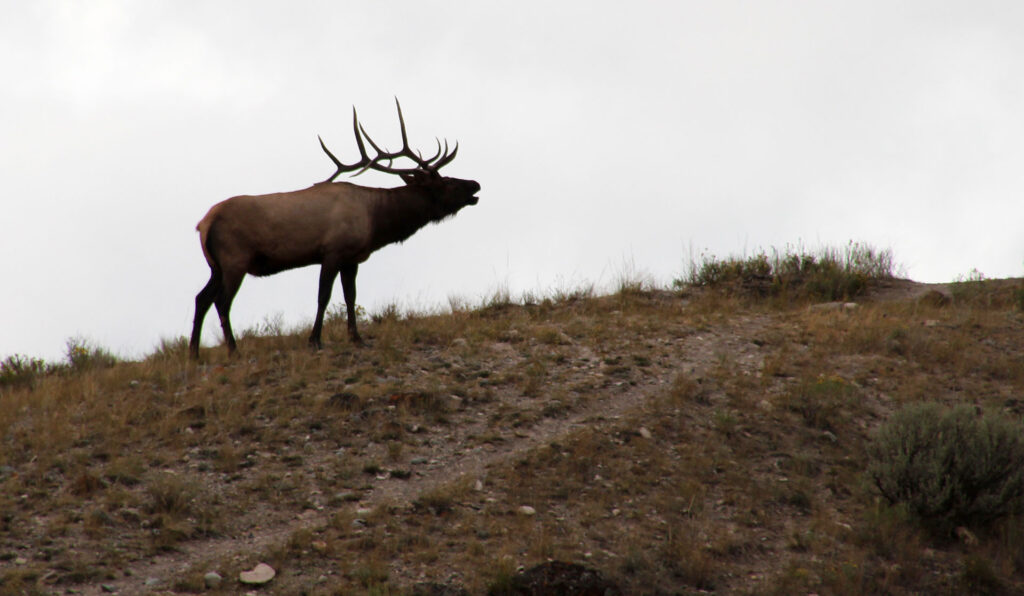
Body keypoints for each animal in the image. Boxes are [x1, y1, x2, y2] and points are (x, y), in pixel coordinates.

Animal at [189, 99, 479, 360]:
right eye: (445, 181)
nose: (475, 184)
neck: (376, 222)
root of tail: (203, 224)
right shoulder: (333, 252)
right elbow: (324, 297)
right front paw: (315, 340)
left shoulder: (352, 259)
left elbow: (350, 297)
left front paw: (357, 338)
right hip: (235, 259)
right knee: (221, 301)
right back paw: (233, 350)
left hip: (216, 266)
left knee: (201, 298)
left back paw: (193, 354)